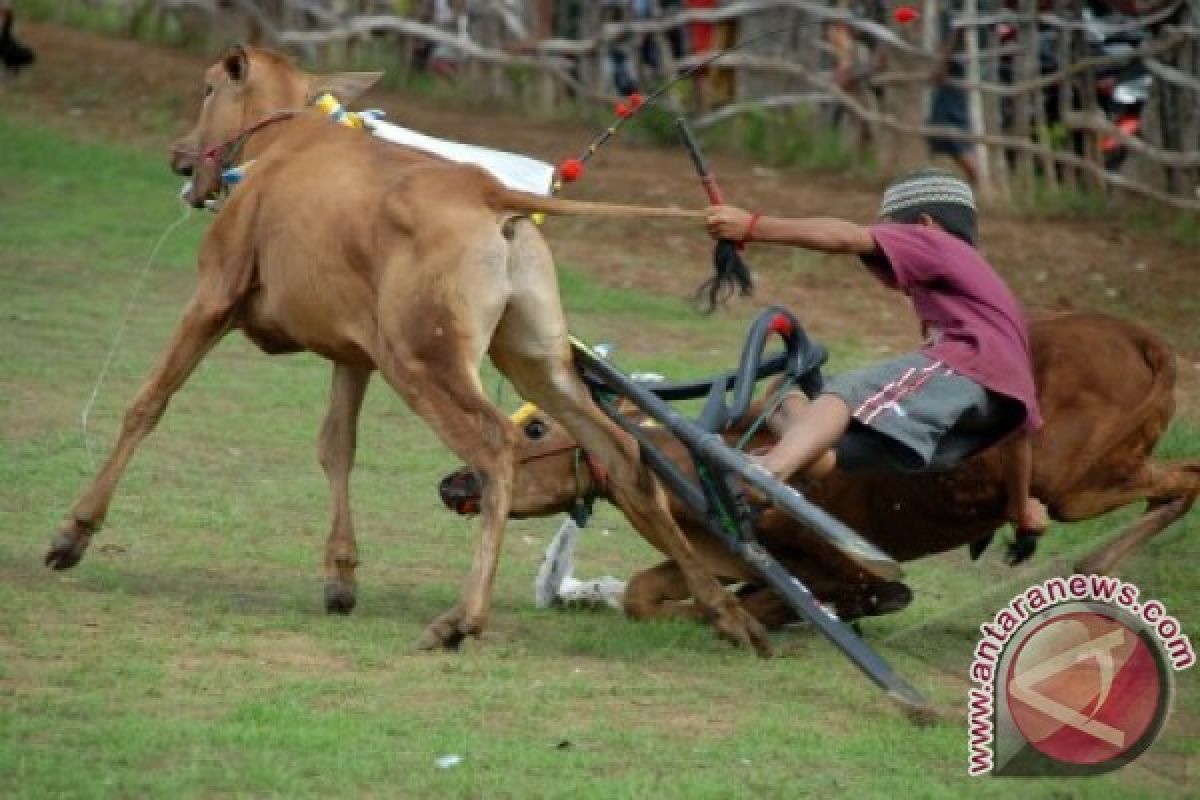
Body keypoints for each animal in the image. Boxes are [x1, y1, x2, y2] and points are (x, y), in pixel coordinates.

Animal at [44, 43, 777, 652]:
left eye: (205, 89)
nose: (179, 154)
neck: (282, 146)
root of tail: (487, 190)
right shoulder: (352, 353)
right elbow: (336, 447)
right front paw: (340, 576)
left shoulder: (213, 298)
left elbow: (147, 403)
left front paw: (73, 533)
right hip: (532, 358)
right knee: (621, 452)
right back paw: (729, 616)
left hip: (424, 361)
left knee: (496, 445)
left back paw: (463, 619)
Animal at [441, 311, 1200, 623]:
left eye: (536, 426)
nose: (453, 481)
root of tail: (1146, 342)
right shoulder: (719, 555)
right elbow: (644, 595)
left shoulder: (829, 562)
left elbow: (837, 593)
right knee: (1185, 477)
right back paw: (1088, 571)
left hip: (1076, 483)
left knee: (1180, 481)